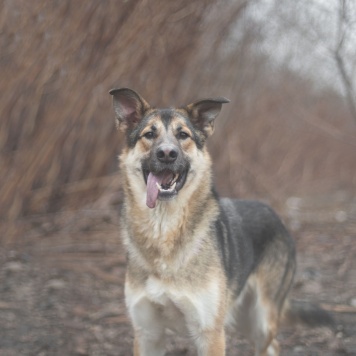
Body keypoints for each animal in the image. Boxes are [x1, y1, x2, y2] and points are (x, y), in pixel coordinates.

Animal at [109, 87, 334, 356]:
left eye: (183, 135)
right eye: (149, 134)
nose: (167, 154)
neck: (164, 228)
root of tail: (274, 213)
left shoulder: (210, 334)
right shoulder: (147, 334)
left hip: (260, 320)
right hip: (242, 319)